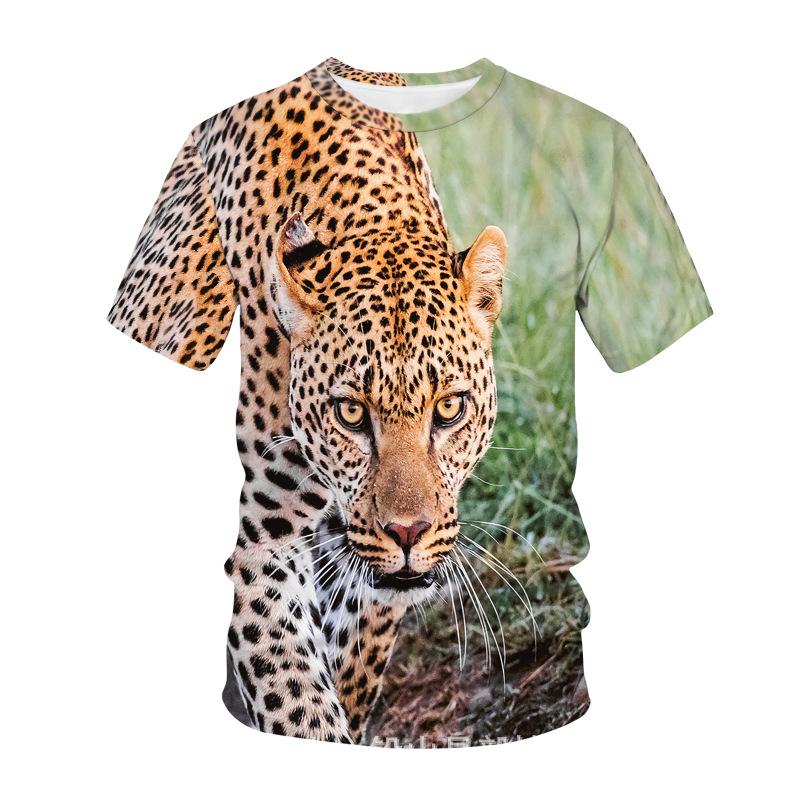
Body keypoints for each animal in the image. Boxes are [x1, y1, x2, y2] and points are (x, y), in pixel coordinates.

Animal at [108, 58, 507, 744]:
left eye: (449, 409)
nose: (408, 531)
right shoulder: (265, 547)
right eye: (351, 413)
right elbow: (297, 697)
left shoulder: (371, 584)